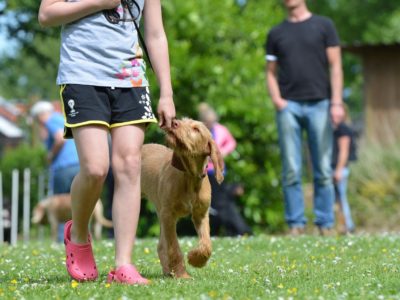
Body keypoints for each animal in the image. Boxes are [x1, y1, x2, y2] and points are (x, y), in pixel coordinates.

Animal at [141, 118, 223, 278]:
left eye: (196, 129)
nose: (174, 123)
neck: (189, 177)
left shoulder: (201, 215)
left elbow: (206, 244)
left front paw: (196, 260)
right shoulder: (169, 215)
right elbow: (174, 247)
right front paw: (181, 274)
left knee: (161, 245)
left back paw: (168, 271)